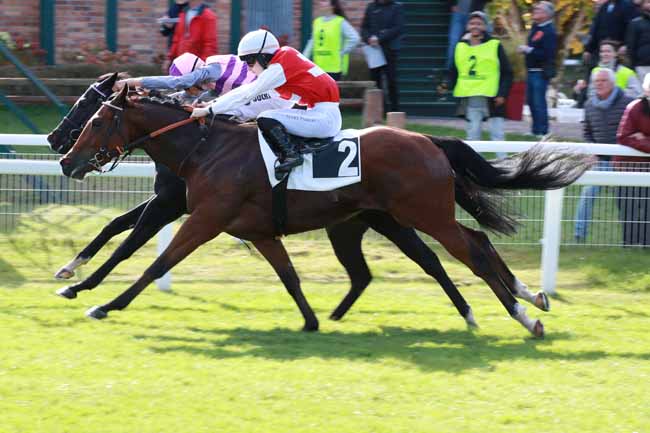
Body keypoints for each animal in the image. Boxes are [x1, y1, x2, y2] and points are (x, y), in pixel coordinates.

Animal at [60, 85, 593, 337]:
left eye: (97, 117)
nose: (65, 159)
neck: (206, 149)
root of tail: (429, 140)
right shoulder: (257, 230)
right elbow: (290, 276)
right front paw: (311, 321)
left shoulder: (201, 218)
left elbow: (152, 262)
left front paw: (99, 301)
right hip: (386, 220)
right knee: (467, 247)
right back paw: (527, 298)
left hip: (426, 214)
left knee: (472, 252)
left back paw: (523, 317)